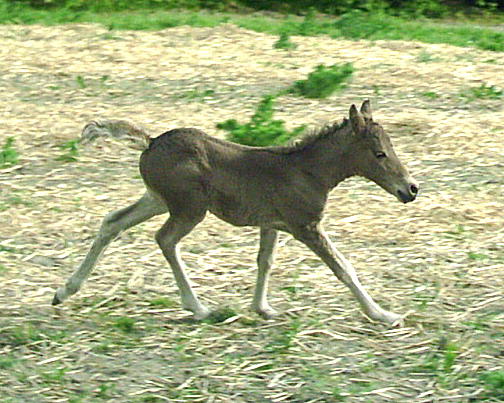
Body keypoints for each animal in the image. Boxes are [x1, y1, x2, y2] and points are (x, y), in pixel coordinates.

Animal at [53, 102, 420, 326]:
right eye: (380, 154)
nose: (411, 189)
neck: (308, 171)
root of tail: (151, 140)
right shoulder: (305, 225)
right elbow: (343, 267)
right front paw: (383, 315)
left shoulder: (272, 224)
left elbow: (265, 262)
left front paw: (262, 308)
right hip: (190, 207)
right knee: (165, 239)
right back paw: (199, 308)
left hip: (158, 199)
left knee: (112, 222)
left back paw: (64, 291)